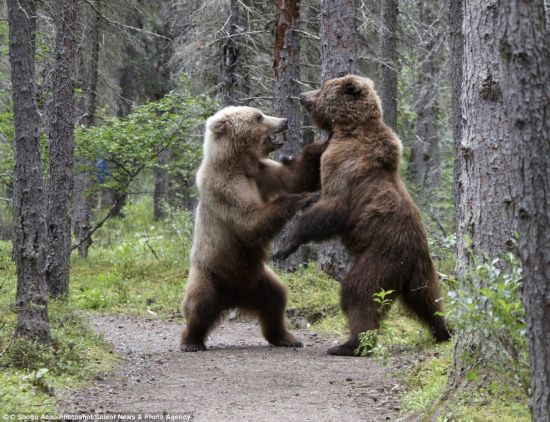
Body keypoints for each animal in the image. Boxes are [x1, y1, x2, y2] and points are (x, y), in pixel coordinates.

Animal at [181, 106, 328, 352]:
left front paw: (321, 144)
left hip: (259, 280)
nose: (284, 120)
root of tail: (233, 298)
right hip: (210, 275)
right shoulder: (226, 188)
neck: (238, 163)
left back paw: (287, 338)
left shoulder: (261, 173)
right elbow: (250, 222)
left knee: (276, 301)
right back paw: (191, 341)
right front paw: (304, 198)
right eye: (259, 116)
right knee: (199, 306)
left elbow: (295, 178)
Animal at [276, 75, 452, 356]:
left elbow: (330, 209)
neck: (347, 129)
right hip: (423, 272)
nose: (302, 96)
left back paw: (350, 344)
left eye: (323, 88)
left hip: (380, 257)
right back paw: (443, 331)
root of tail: (413, 257)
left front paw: (285, 246)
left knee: (359, 292)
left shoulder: (344, 166)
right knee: (428, 301)